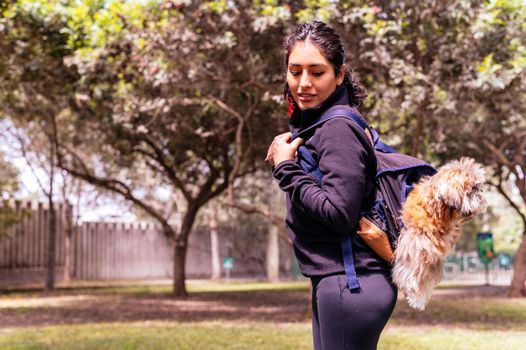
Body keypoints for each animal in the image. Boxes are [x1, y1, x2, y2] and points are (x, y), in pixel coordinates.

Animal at [394, 157, 488, 310]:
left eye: (478, 187)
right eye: (472, 189)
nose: (481, 193)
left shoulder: (434, 255)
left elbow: (427, 277)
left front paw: (419, 298)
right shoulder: (416, 244)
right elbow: (412, 270)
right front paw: (415, 295)